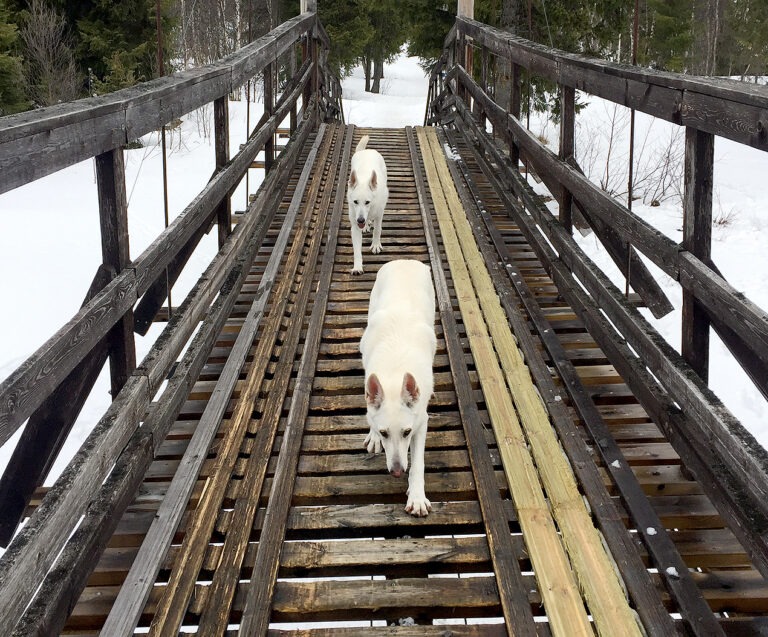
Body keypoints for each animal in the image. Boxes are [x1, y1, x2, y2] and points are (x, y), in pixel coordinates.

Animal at [346, 134, 388, 274]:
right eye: (355, 202)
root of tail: (366, 150)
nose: (360, 220)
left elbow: (377, 230)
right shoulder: (354, 227)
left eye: (367, 202)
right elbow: (356, 251)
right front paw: (357, 267)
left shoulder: (379, 215)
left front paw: (375, 245)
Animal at [358, 260, 436, 516]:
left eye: (406, 432)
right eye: (384, 433)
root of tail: (405, 260)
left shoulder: (421, 422)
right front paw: (373, 435)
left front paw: (417, 496)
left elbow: (418, 464)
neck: (394, 370)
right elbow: (371, 413)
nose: (397, 472)